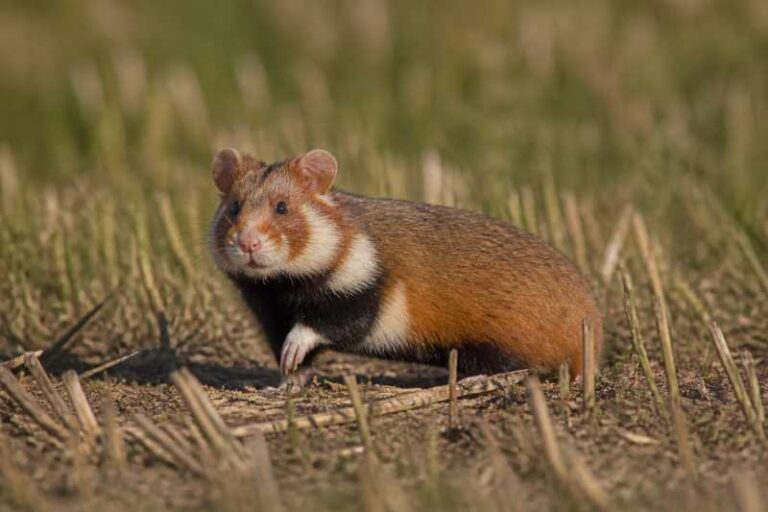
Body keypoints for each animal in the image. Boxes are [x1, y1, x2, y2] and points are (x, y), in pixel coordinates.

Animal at [208, 148, 602, 384]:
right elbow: (292, 357)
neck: (284, 286)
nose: (248, 242)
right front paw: (287, 382)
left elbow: (321, 327)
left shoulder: (362, 294)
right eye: (234, 207)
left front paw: (294, 351)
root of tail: (593, 334)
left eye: (282, 207)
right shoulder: (269, 313)